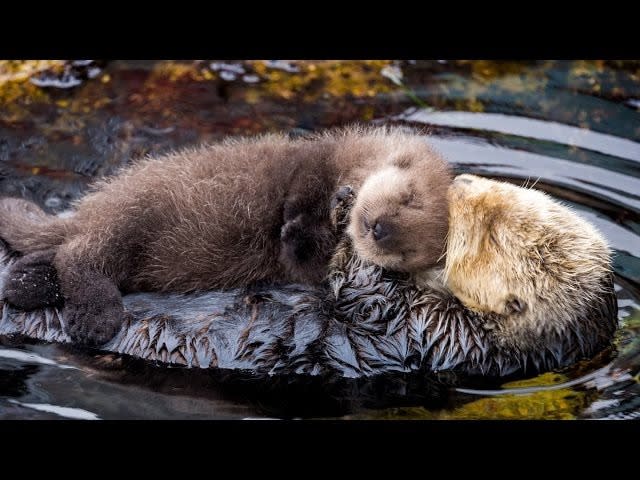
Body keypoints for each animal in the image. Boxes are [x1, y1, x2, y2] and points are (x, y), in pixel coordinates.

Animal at [0, 126, 452, 344]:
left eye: (408, 253)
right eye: (409, 198)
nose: (380, 230)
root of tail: (93, 208)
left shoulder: (308, 270)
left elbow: (304, 261)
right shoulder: (313, 164)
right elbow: (301, 193)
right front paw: (320, 212)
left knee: (63, 255)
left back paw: (26, 283)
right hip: (132, 216)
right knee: (79, 255)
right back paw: (92, 319)